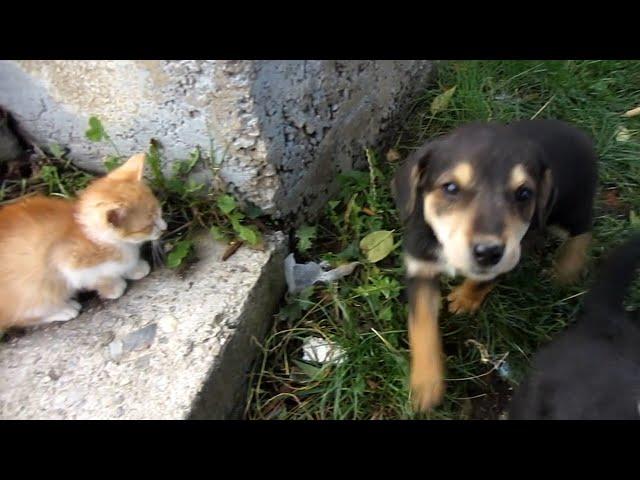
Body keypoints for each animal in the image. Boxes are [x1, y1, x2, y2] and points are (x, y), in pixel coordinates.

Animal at [0, 154, 168, 330]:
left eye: (159, 211)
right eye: (149, 225)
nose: (165, 227)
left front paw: (134, 269)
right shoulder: (69, 262)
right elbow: (97, 277)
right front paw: (113, 287)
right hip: (34, 291)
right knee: (25, 315)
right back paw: (64, 310)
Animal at [392, 120, 596, 412]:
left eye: (524, 193)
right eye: (450, 188)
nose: (489, 252)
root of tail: (580, 136)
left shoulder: (514, 251)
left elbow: (483, 280)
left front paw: (465, 299)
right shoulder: (421, 267)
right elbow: (421, 325)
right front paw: (425, 385)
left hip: (567, 211)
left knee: (584, 229)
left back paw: (566, 270)